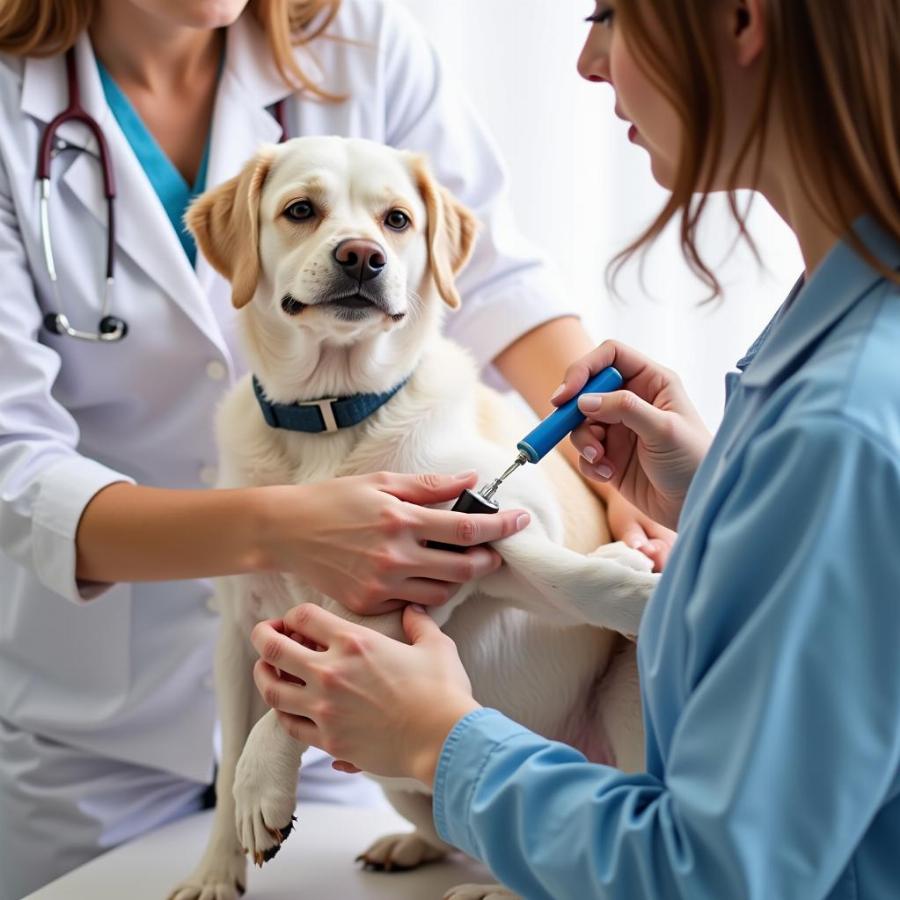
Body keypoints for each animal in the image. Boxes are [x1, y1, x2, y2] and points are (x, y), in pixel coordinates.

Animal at [169, 135, 656, 900]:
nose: (361, 255)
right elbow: (246, 740)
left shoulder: (486, 526)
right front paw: (216, 869)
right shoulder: (239, 631)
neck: (333, 418)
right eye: (300, 210)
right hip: (403, 785)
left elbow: (551, 572)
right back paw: (413, 849)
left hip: (624, 705)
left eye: (397, 219)